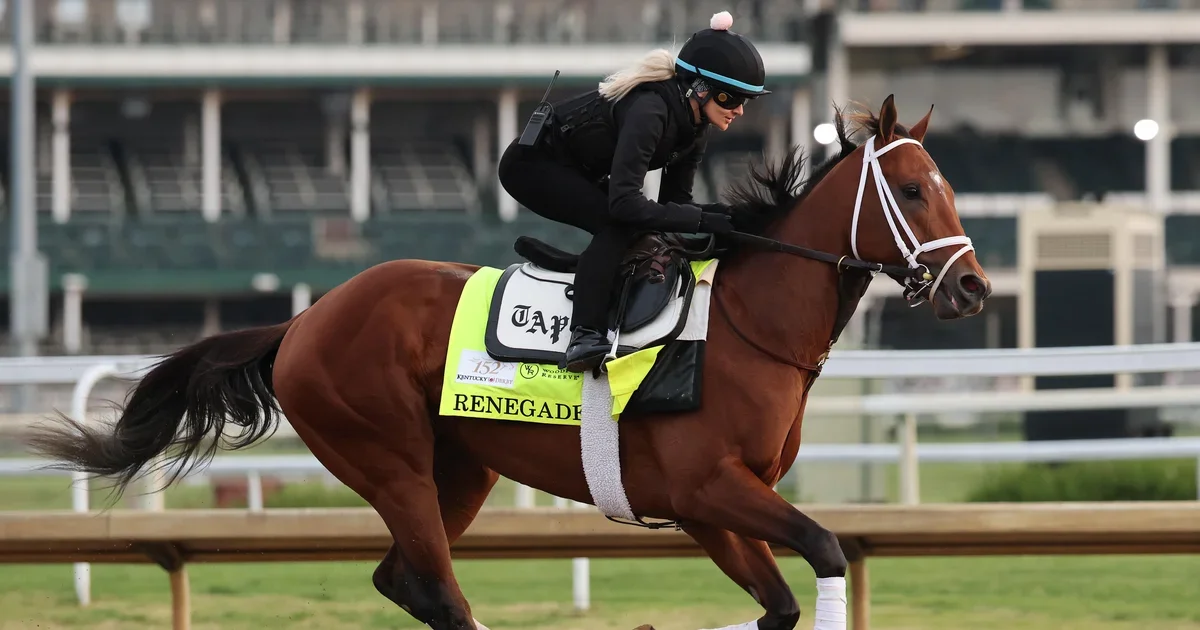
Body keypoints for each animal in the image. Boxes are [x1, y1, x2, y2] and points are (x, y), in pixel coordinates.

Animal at [28, 94, 991, 630]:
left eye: (950, 187)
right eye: (913, 190)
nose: (973, 287)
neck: (748, 327)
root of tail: (302, 322)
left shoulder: (705, 508)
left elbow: (782, 606)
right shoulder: (711, 488)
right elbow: (827, 551)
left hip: (461, 472)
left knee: (405, 583)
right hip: (390, 461)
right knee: (438, 590)